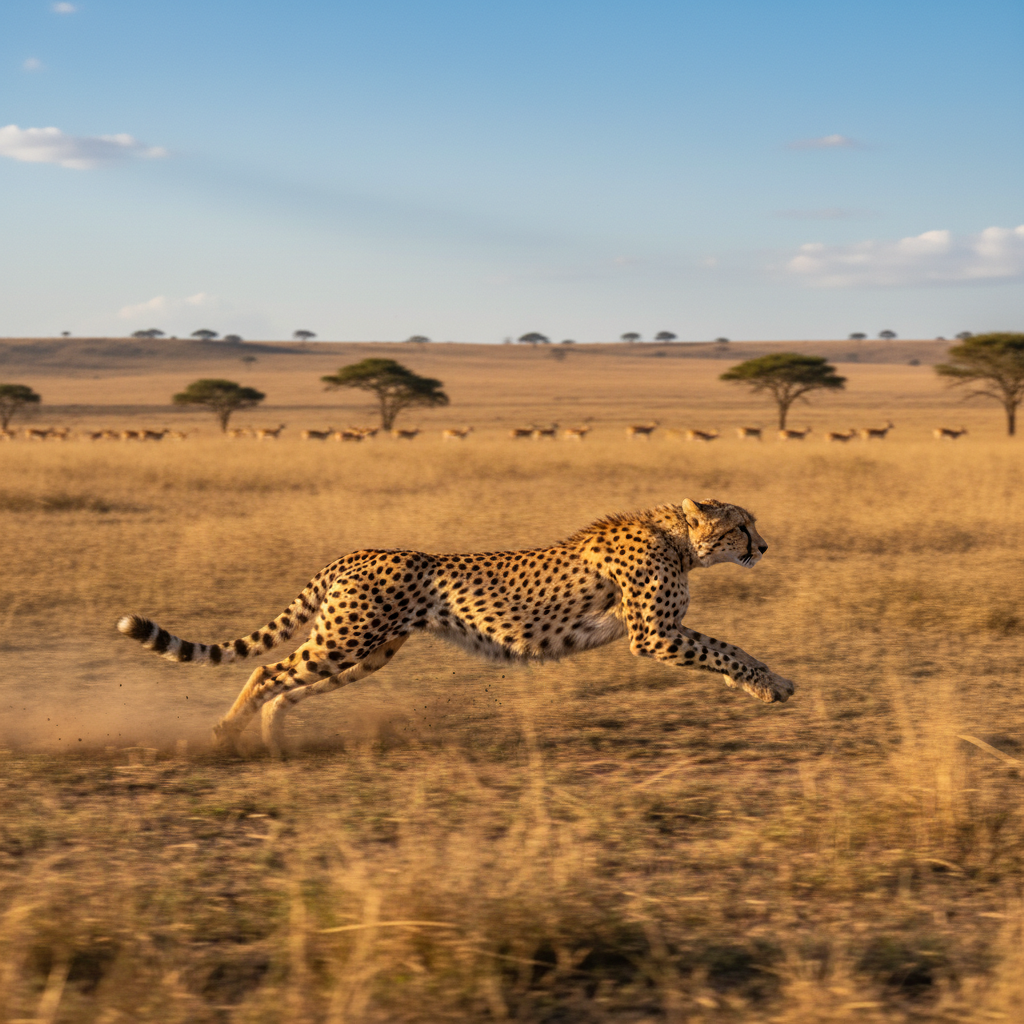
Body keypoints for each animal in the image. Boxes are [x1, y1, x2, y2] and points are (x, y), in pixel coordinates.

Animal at [117, 498, 795, 756]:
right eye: (741, 525)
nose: (763, 546)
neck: (675, 537)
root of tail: (358, 551)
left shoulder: (661, 632)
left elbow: (722, 648)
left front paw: (769, 686)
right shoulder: (653, 634)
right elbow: (725, 647)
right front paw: (771, 686)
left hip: (370, 651)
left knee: (290, 686)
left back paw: (273, 737)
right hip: (347, 638)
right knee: (265, 669)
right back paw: (226, 733)